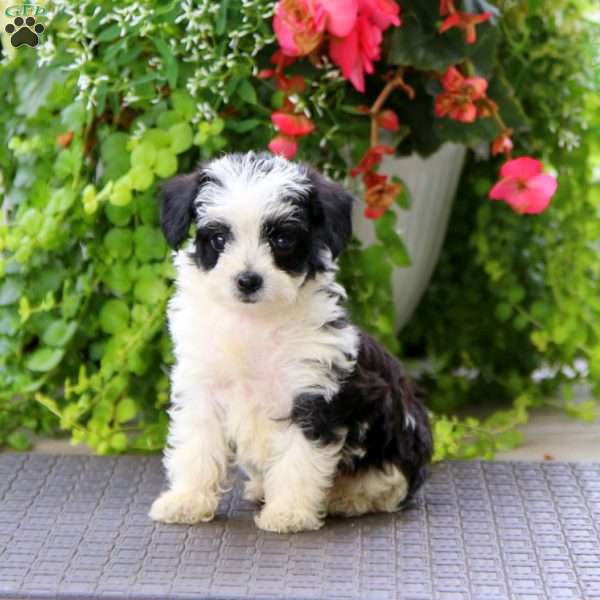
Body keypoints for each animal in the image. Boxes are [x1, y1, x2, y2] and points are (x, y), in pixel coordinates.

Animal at [149, 151, 432, 536]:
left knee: (389, 485)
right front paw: (187, 500)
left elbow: (299, 459)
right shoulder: (203, 389)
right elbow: (196, 448)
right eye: (219, 239)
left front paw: (289, 514)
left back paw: (347, 497)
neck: (253, 322)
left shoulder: (310, 393)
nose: (248, 280)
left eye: (282, 240)